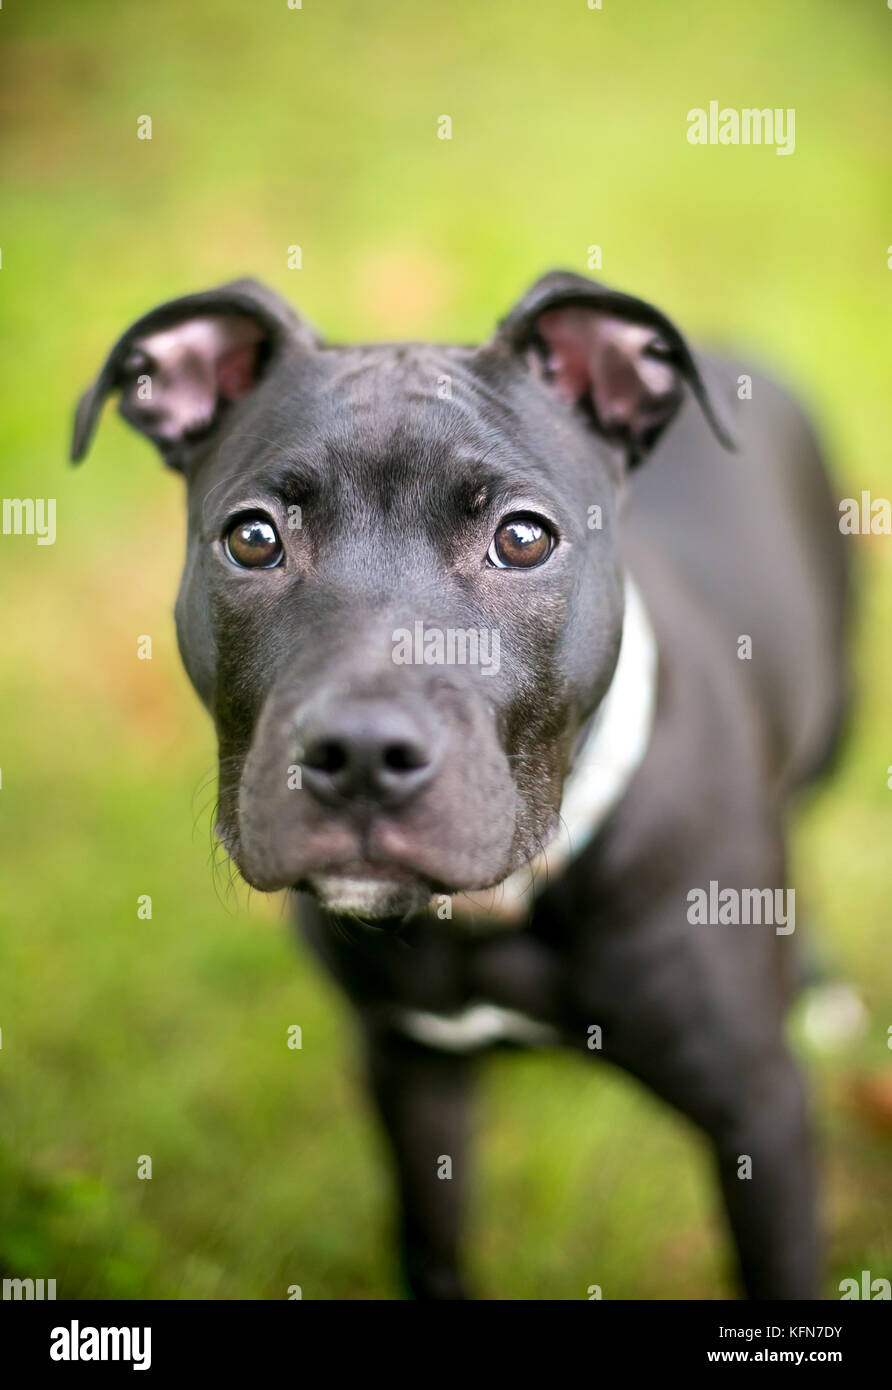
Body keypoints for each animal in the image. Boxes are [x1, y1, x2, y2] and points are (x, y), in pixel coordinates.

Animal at [72, 273, 844, 1301]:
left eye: (521, 539)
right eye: (253, 539)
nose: (361, 753)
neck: (499, 913)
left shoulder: (756, 1114)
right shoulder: (411, 1071)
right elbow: (432, 1248)